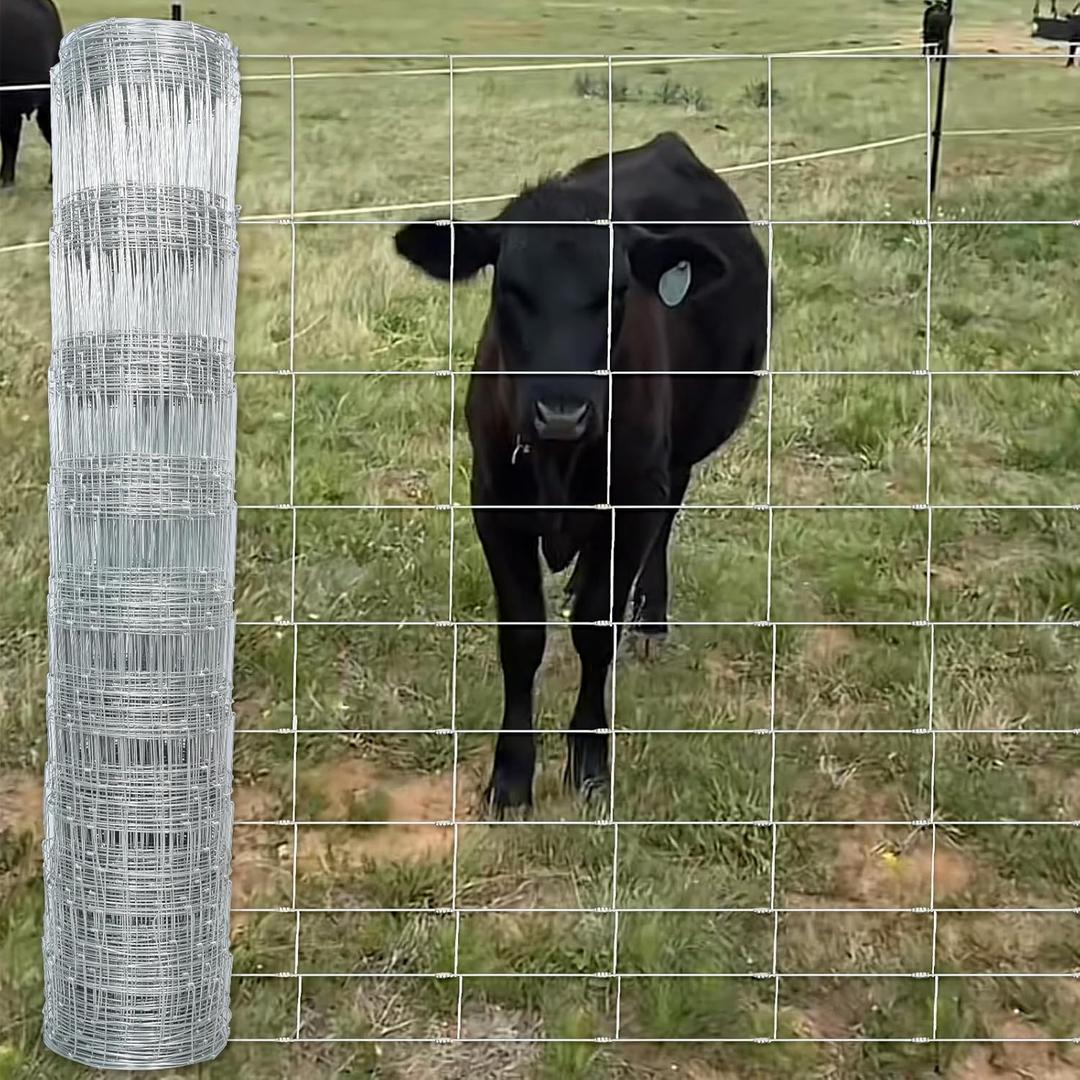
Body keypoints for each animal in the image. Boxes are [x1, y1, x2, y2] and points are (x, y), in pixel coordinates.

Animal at [393, 131, 769, 813]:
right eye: (508, 288)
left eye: (617, 291)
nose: (562, 411)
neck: (558, 462)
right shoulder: (494, 501)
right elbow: (522, 636)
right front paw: (511, 776)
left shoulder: (636, 495)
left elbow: (596, 629)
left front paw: (590, 761)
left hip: (675, 460)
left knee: (664, 526)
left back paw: (650, 619)